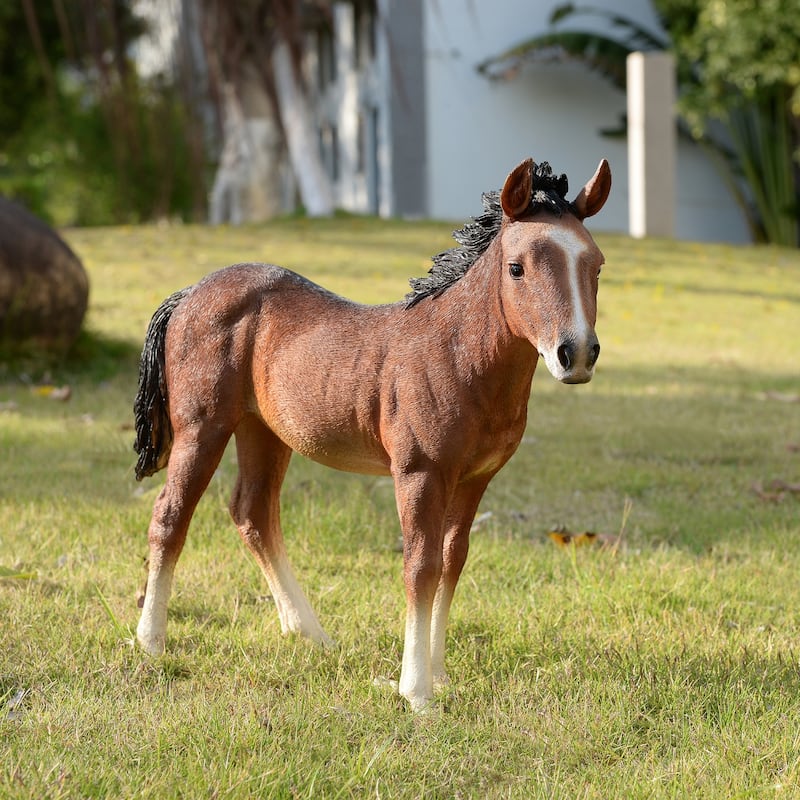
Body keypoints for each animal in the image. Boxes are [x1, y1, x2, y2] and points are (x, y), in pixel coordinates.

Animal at [133, 157, 612, 711]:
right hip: (203, 428)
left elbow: (453, 561)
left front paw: (440, 674)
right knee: (171, 514)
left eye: (596, 265)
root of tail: (190, 293)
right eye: (517, 268)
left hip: (263, 431)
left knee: (252, 512)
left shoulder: (474, 478)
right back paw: (150, 641)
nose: (575, 354)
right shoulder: (419, 473)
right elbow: (421, 567)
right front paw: (417, 691)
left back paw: (310, 634)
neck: (457, 355)